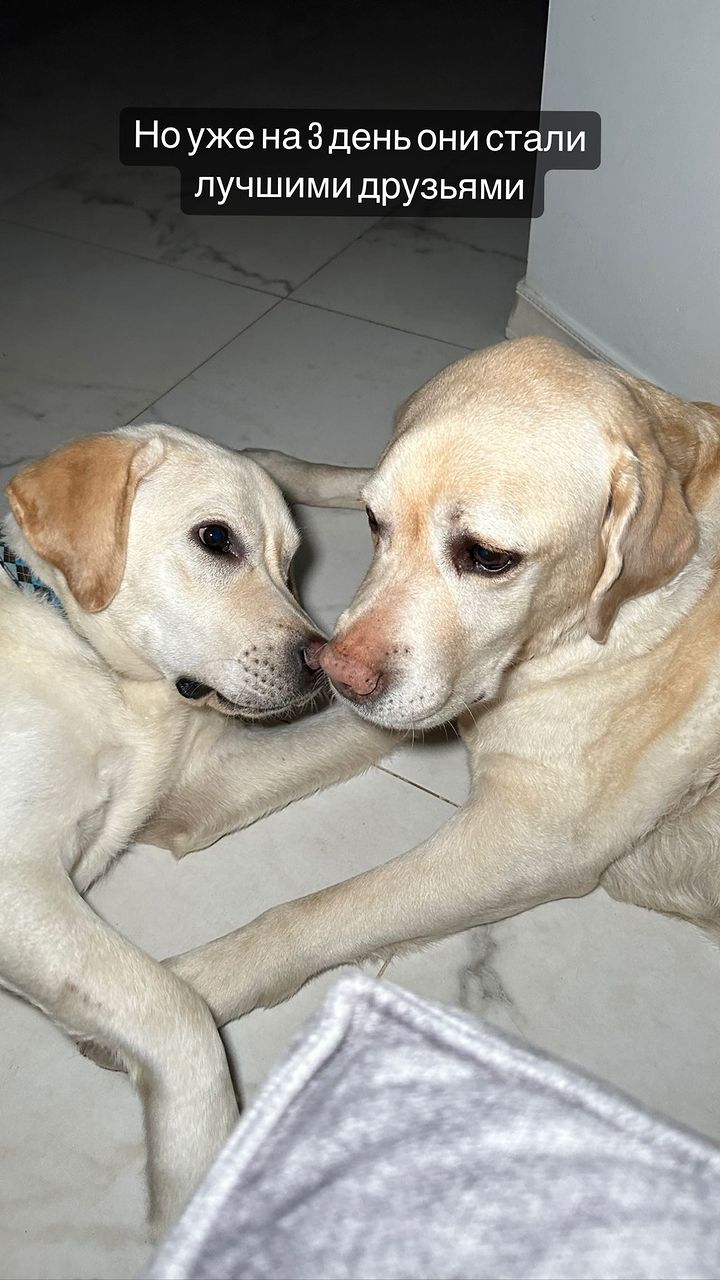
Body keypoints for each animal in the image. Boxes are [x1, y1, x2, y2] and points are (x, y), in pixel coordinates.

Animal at [0, 424, 392, 1233]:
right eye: (216, 539)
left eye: (291, 562)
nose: (318, 664)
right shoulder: (16, 880)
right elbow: (180, 1016)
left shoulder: (199, 790)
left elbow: (356, 730)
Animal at [158, 335, 720, 1034]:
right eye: (375, 522)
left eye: (488, 557)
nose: (336, 671)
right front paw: (269, 469)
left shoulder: (529, 842)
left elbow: (326, 910)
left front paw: (185, 989)